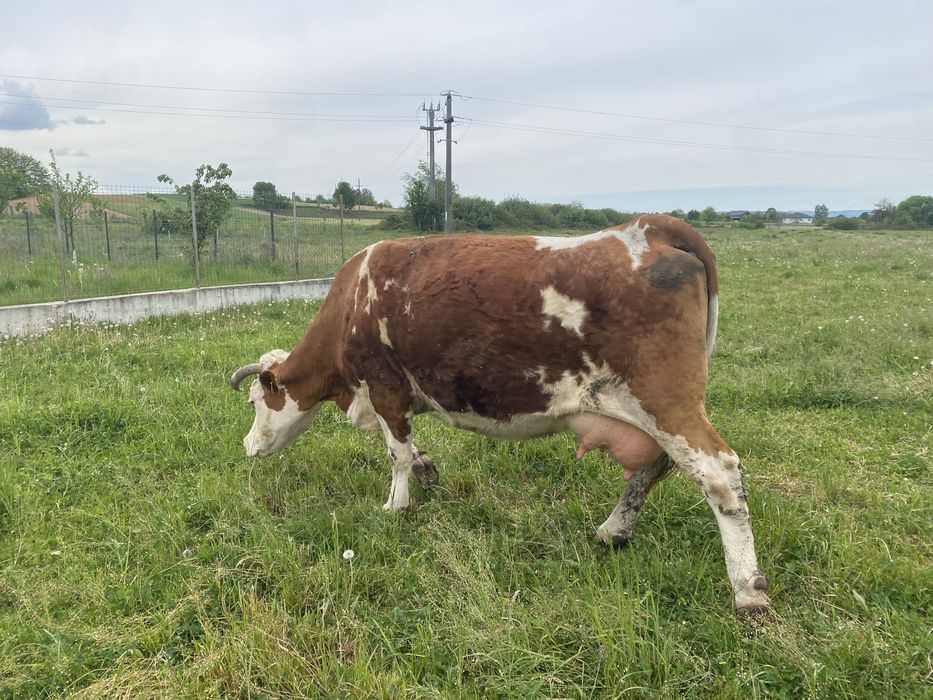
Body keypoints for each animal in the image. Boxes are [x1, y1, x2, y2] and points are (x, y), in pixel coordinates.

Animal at [230, 214, 771, 615]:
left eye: (256, 402)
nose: (248, 445)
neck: (350, 305)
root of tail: (651, 227)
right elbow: (410, 449)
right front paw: (427, 471)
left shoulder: (385, 387)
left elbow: (395, 453)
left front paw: (395, 506)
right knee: (655, 466)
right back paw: (614, 530)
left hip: (665, 397)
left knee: (718, 472)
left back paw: (747, 590)